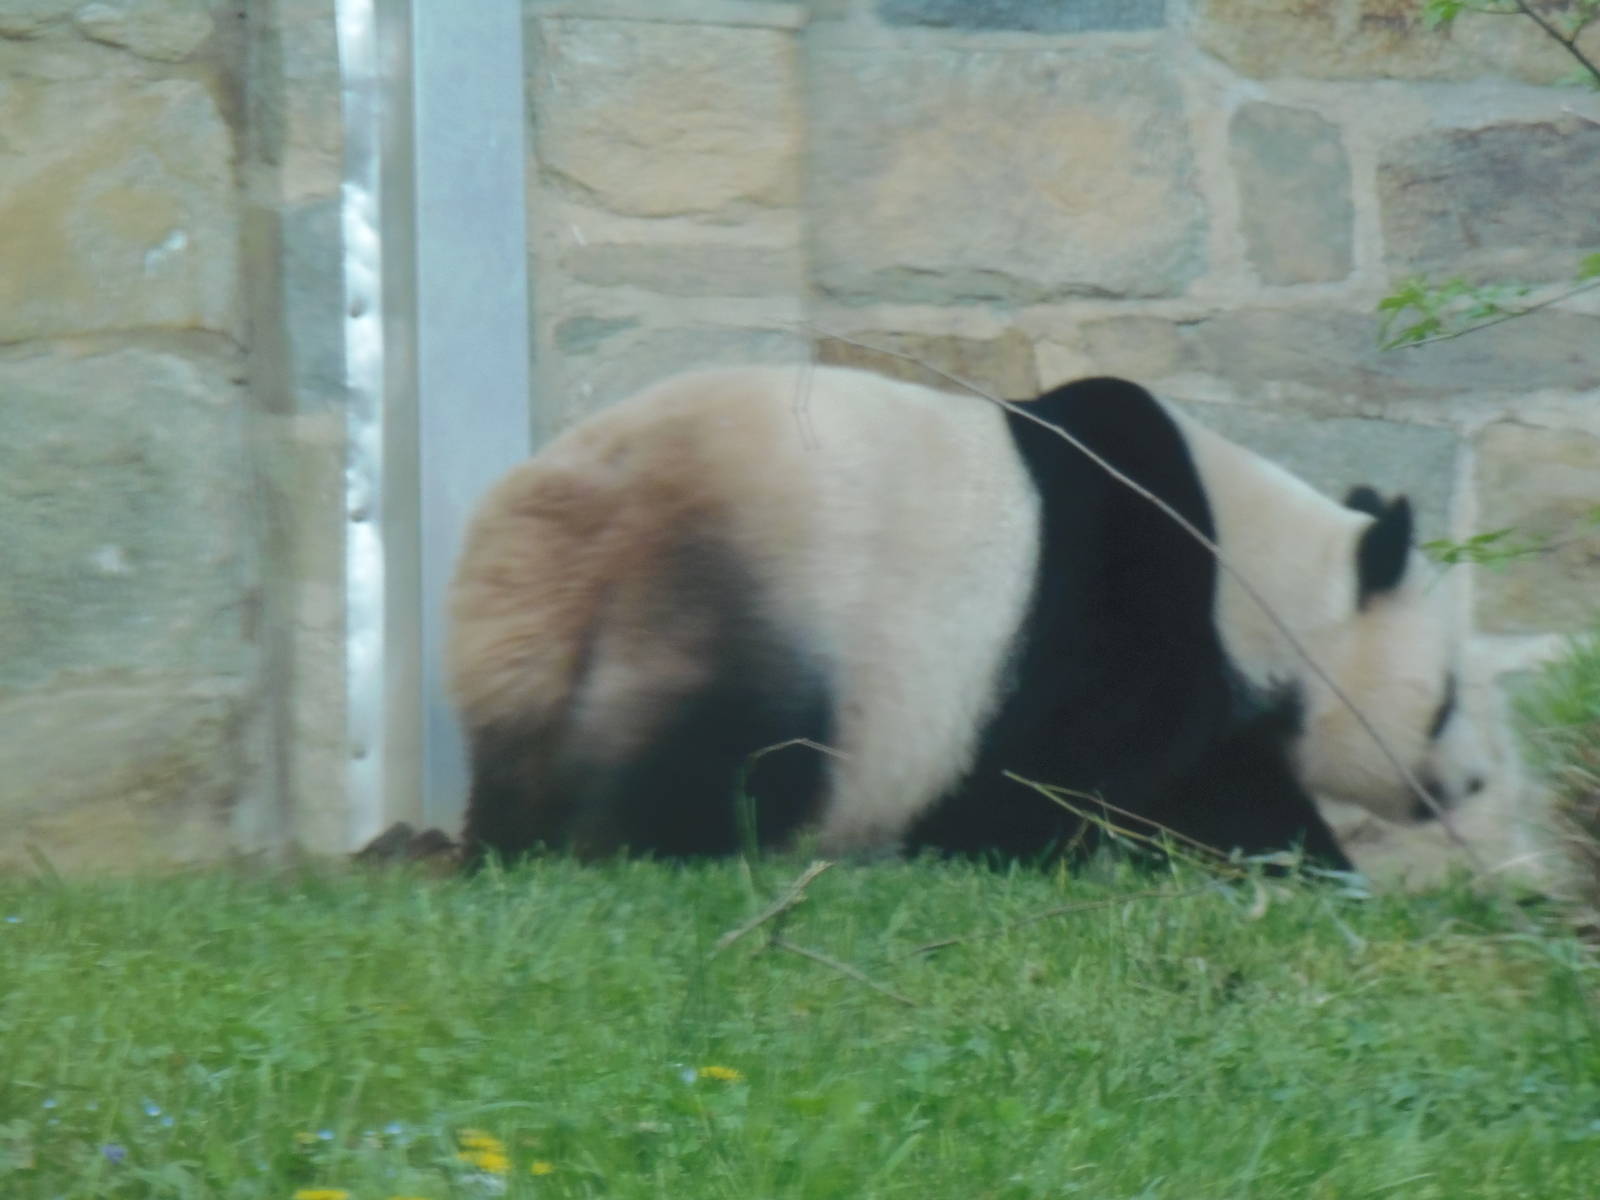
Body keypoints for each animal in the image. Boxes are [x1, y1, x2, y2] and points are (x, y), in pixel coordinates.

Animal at [447, 365, 1488, 871]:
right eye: (1446, 700)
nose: (1472, 783)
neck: (1257, 570)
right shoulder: (1130, 612)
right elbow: (1105, 771)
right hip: (739, 600)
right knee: (724, 753)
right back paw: (641, 847)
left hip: (542, 639)